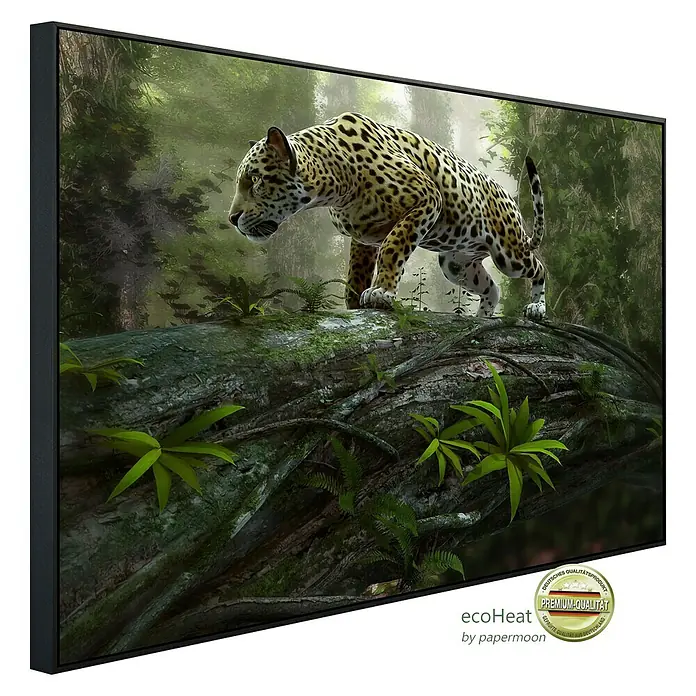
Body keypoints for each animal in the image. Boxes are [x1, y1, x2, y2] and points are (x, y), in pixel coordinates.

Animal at [227, 112, 546, 319]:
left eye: (254, 180)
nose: (232, 218)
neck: (335, 181)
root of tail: (507, 197)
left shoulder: (426, 199)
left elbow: (394, 247)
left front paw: (381, 292)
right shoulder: (364, 235)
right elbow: (356, 271)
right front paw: (355, 304)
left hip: (509, 254)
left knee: (539, 268)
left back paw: (536, 308)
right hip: (456, 264)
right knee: (492, 288)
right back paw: (481, 317)